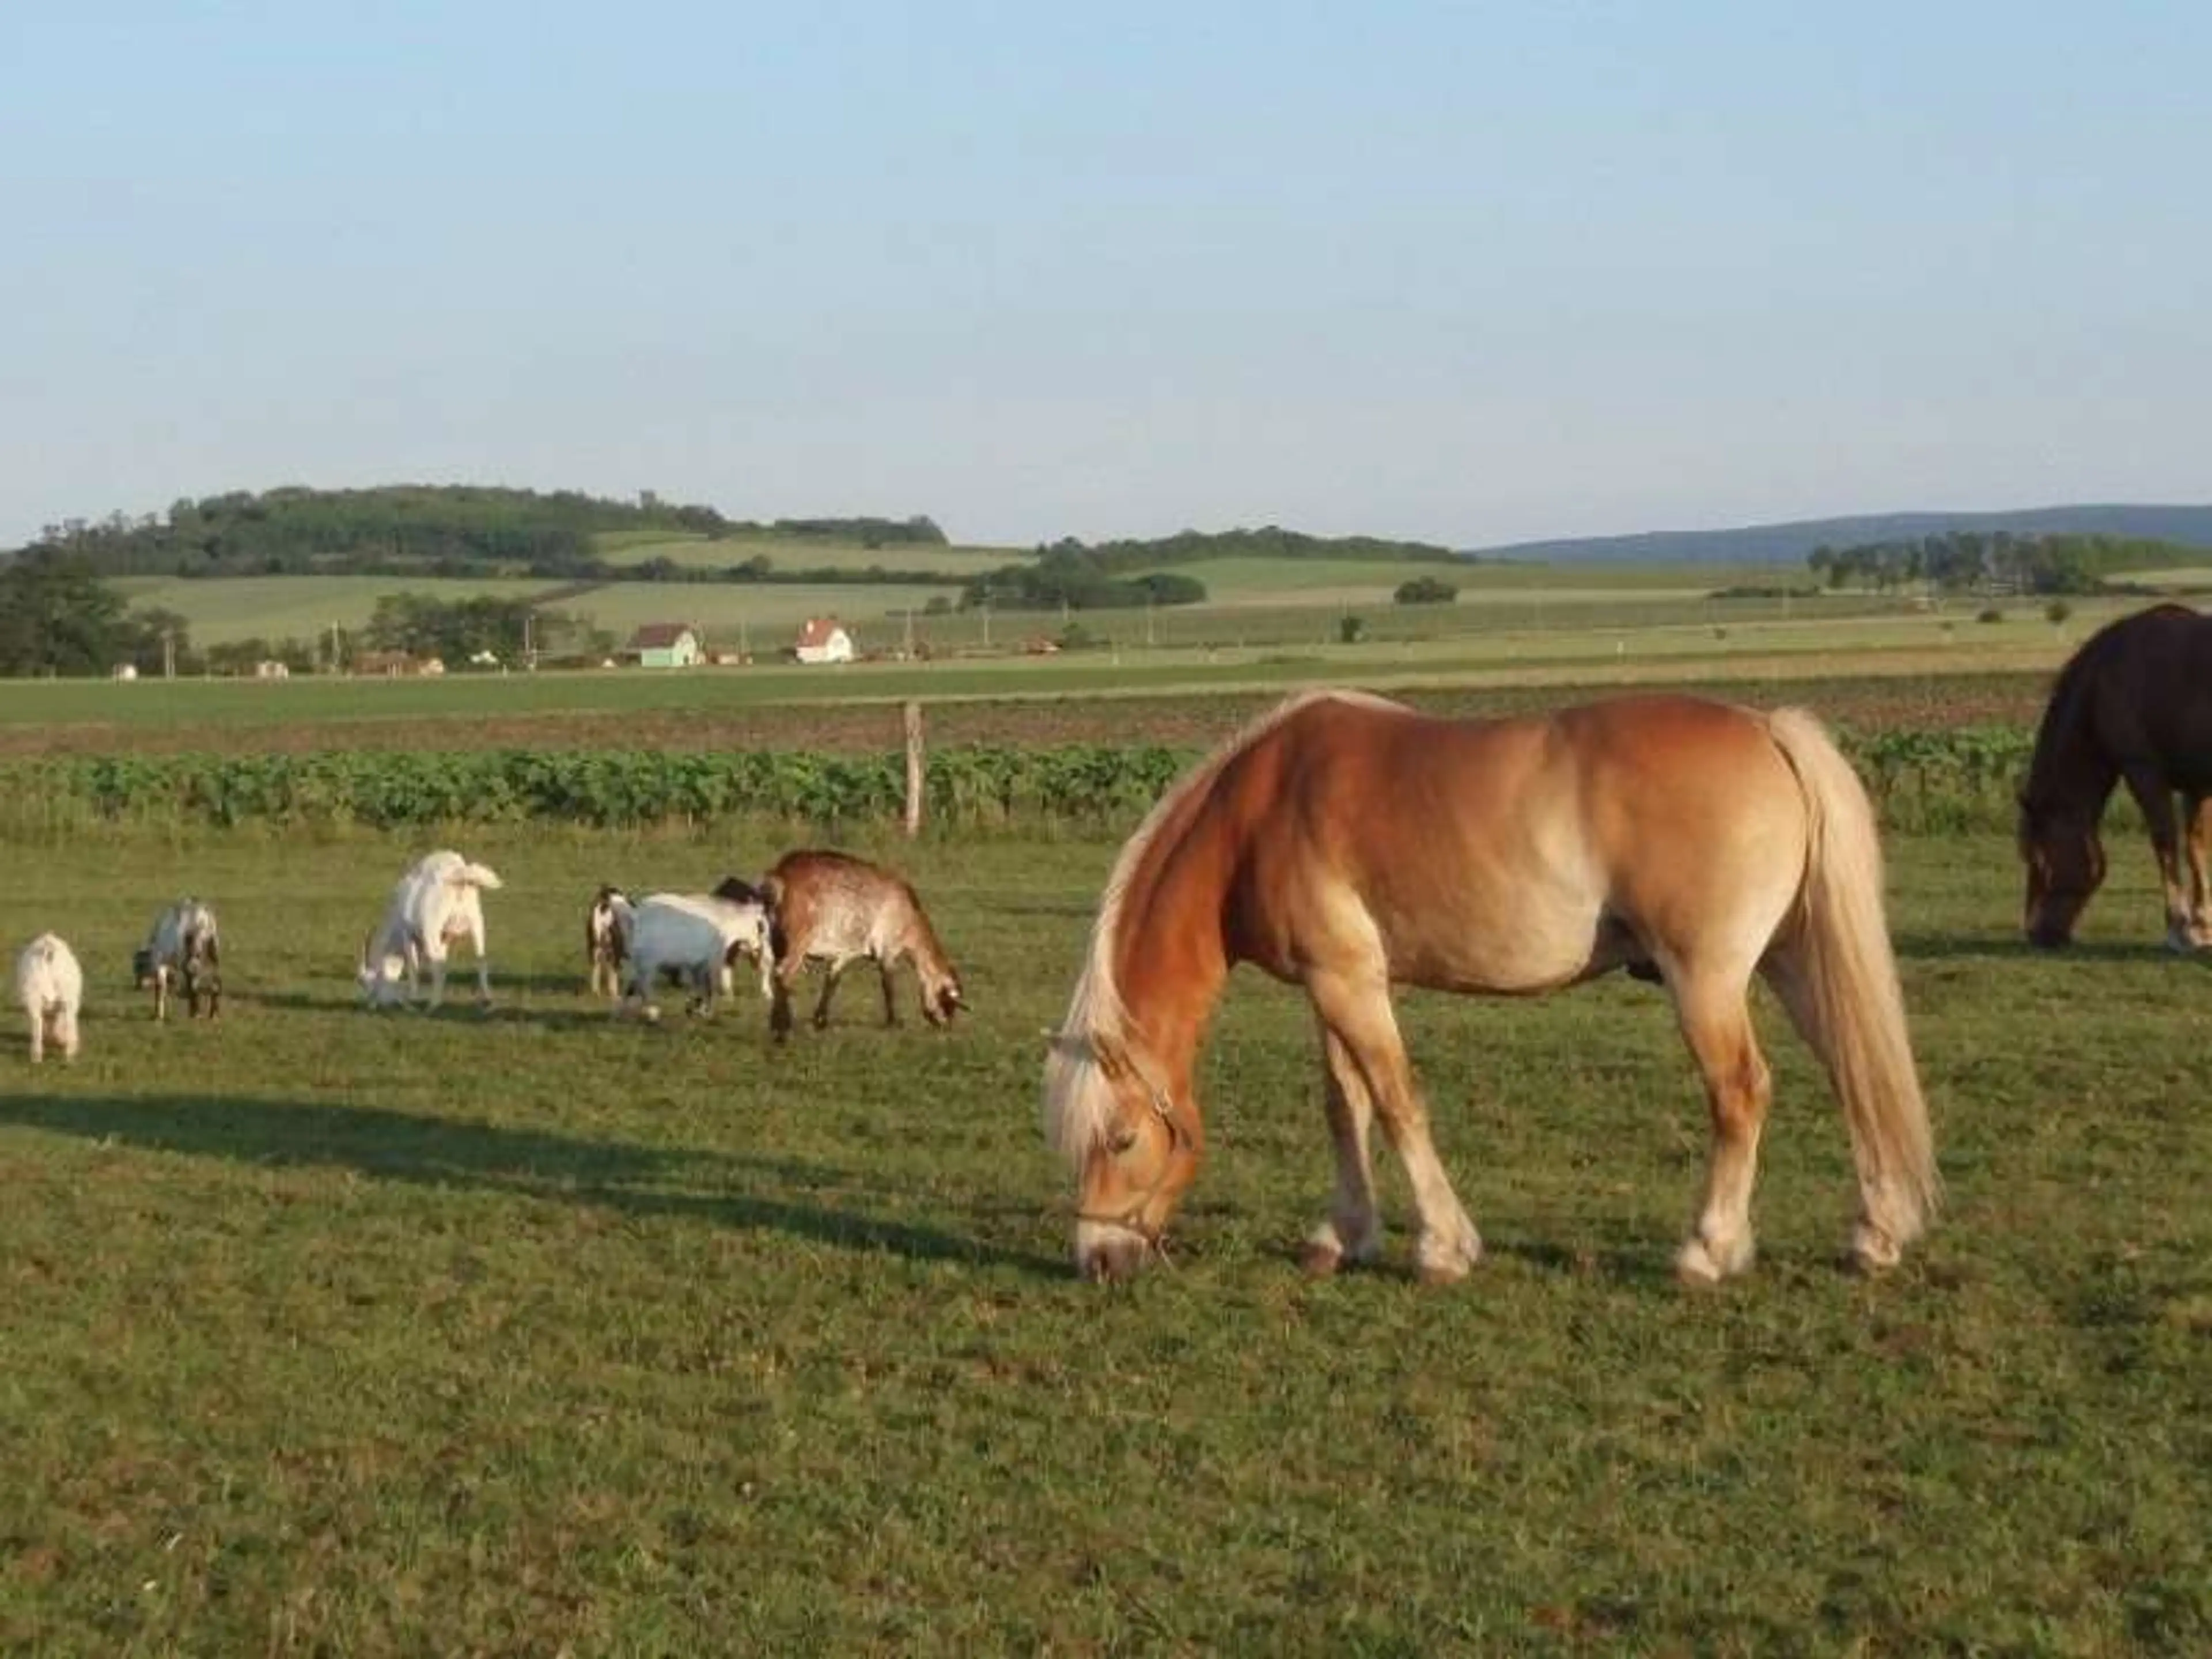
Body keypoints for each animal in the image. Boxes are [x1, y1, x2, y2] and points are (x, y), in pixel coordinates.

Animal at [619, 889, 774, 1022]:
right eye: (763, 926)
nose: (768, 955)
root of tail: (637, 915)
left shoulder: (699, 964)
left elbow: (701, 986)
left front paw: (696, 1009)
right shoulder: (713, 962)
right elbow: (711, 987)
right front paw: (706, 1010)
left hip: (640, 962)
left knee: (634, 984)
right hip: (648, 962)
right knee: (644, 986)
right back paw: (651, 1012)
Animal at [756, 858, 964, 1039]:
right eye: (948, 1003)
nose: (946, 1027)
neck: (911, 918)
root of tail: (780, 876)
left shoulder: (845, 953)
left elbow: (832, 981)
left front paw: (821, 1021)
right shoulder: (887, 950)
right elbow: (888, 985)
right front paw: (894, 1023)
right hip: (797, 941)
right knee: (783, 976)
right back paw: (782, 1028)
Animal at [1039, 690, 1937, 1283]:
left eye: (1121, 1140)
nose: (1099, 1260)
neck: (1257, 813)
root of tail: (1767, 731)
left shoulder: (1350, 986)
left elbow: (1397, 1103)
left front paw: (1444, 1247)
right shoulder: (1333, 988)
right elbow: (1344, 1105)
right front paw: (1343, 1234)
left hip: (1707, 980)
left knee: (1742, 1094)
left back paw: (1708, 1250)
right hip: (1792, 962)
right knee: (1855, 1076)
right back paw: (1876, 1234)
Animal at [2017, 606, 2212, 946]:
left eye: (2036, 857)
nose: (2035, 933)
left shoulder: (2143, 770)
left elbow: (2165, 843)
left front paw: (2179, 928)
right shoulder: (2196, 783)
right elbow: (2196, 846)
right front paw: (2202, 927)